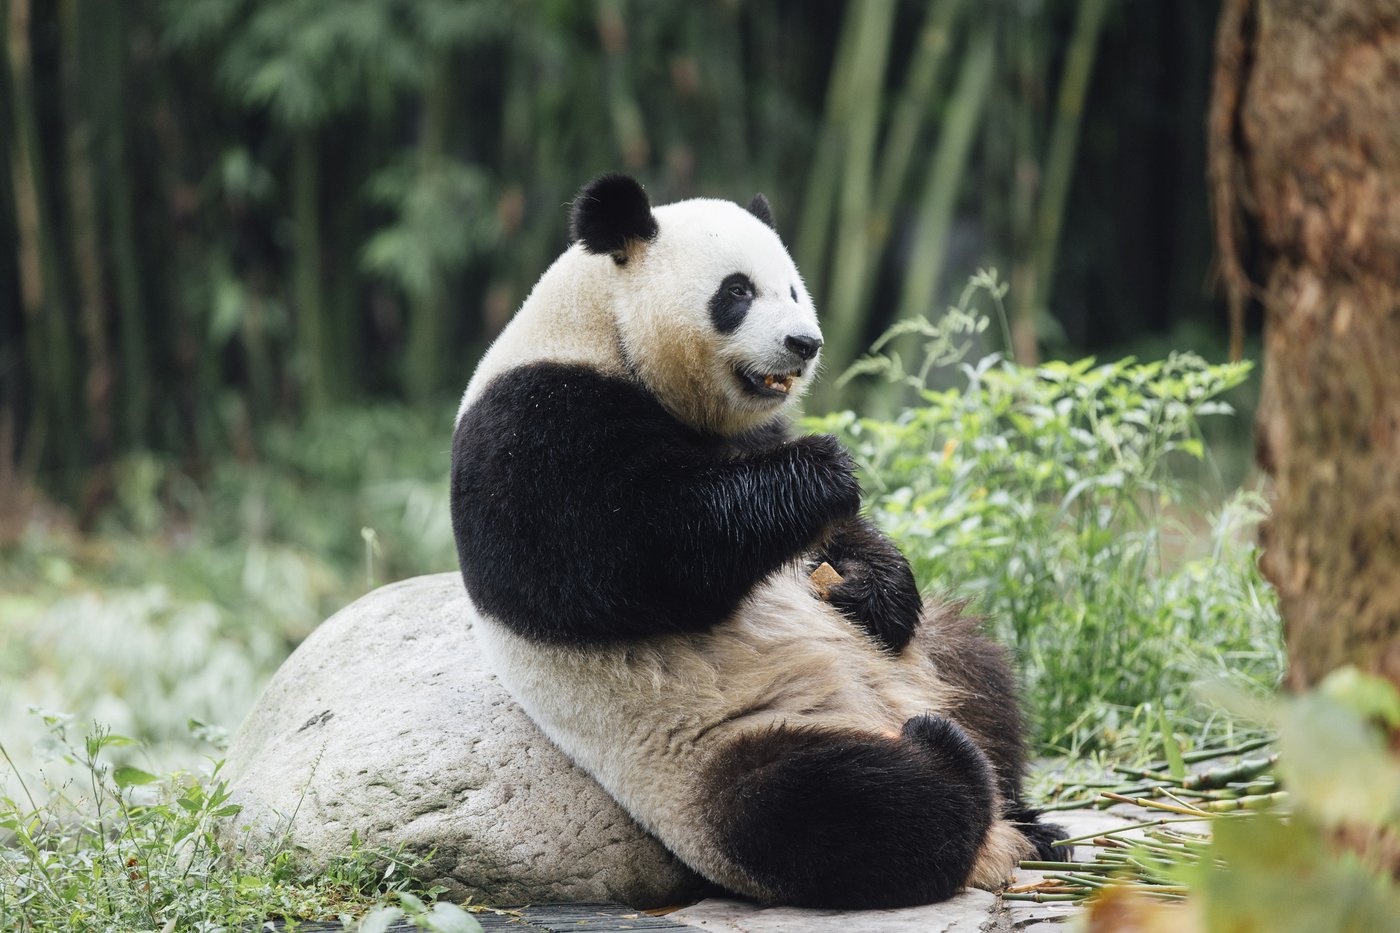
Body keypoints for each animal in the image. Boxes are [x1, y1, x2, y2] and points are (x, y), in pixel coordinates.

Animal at [450, 174, 1063, 909]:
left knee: (982, 671)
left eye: (794, 288)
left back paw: (1032, 817)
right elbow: (630, 559)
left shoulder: (751, 428)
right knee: (833, 807)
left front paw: (875, 586)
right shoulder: (532, 427)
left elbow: (839, 543)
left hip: (928, 662)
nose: (805, 342)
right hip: (714, 755)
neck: (604, 331)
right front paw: (825, 470)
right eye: (737, 292)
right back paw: (948, 762)